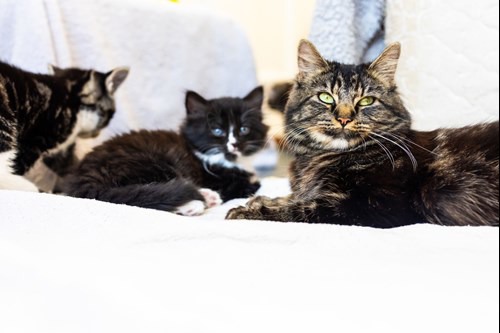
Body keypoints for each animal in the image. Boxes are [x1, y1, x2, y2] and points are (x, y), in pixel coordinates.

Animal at [62, 85, 270, 215]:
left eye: (244, 129)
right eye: (217, 130)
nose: (234, 144)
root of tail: (84, 181)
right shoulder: (227, 181)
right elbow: (254, 184)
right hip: (151, 162)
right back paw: (197, 202)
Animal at [228, 38, 500, 226]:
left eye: (367, 101)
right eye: (326, 97)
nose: (344, 118)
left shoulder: (377, 206)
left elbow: (304, 209)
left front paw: (249, 211)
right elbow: (295, 198)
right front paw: (263, 200)